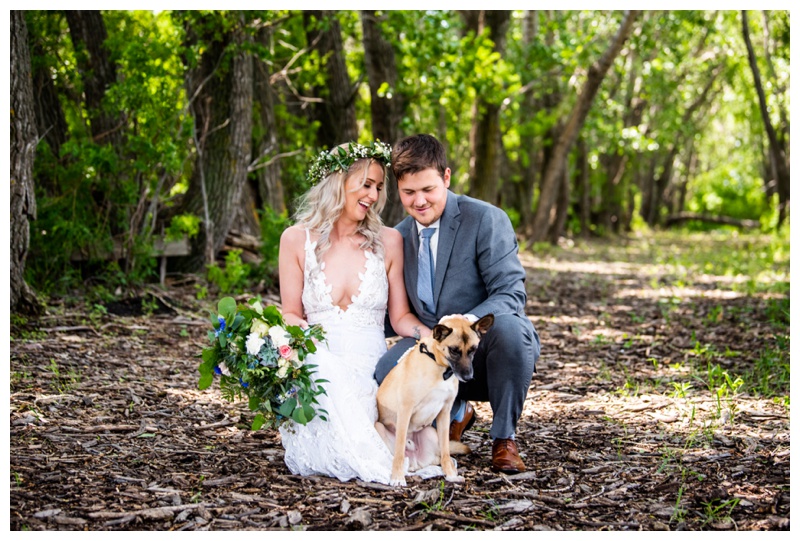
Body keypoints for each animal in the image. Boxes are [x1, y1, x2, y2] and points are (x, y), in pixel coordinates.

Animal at [376, 312, 494, 486]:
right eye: (454, 350)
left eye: (473, 350)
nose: (468, 377)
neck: (439, 367)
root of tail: (415, 461)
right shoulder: (405, 410)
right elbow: (399, 450)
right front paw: (397, 477)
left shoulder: (444, 413)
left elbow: (446, 450)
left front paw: (450, 474)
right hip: (379, 426)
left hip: (431, 432)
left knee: (440, 455)